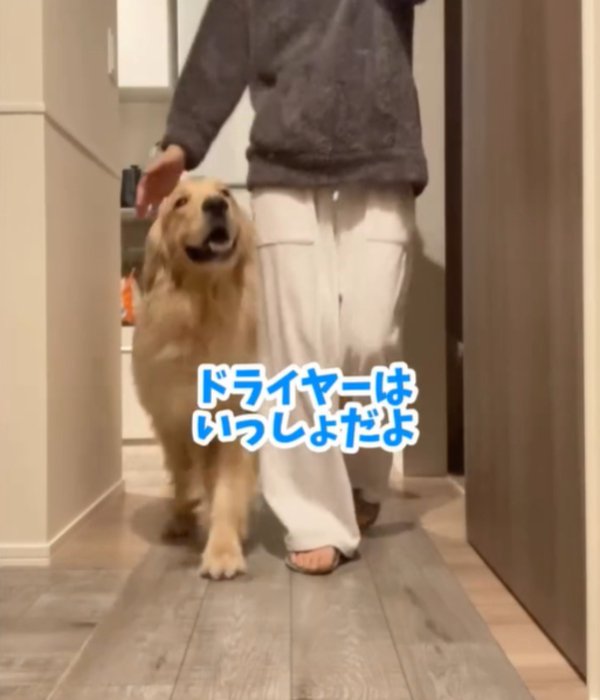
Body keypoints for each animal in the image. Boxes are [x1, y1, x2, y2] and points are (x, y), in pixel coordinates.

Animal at [132, 179, 257, 579]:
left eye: (227, 193)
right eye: (180, 202)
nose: (216, 205)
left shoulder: (235, 421)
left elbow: (227, 489)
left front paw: (223, 550)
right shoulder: (172, 418)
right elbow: (188, 476)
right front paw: (188, 517)